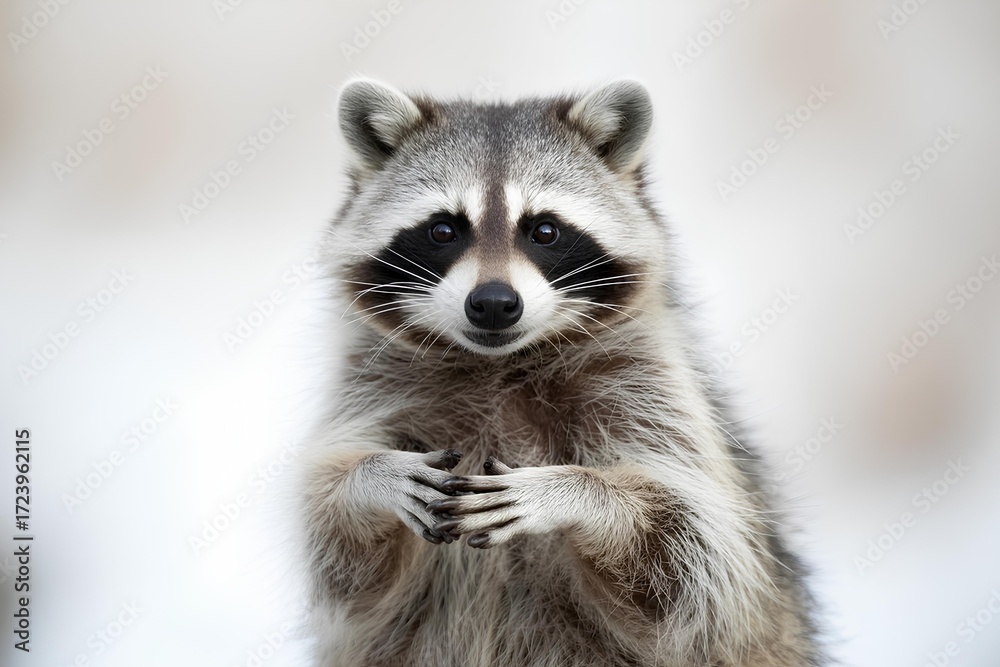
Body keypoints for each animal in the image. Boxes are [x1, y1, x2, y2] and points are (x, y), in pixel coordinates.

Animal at [297, 78, 823, 666]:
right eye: (443, 229)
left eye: (544, 230)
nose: (494, 303)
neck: (497, 364)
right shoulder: (376, 383)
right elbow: (344, 570)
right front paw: (371, 480)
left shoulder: (647, 385)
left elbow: (692, 559)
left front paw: (574, 492)